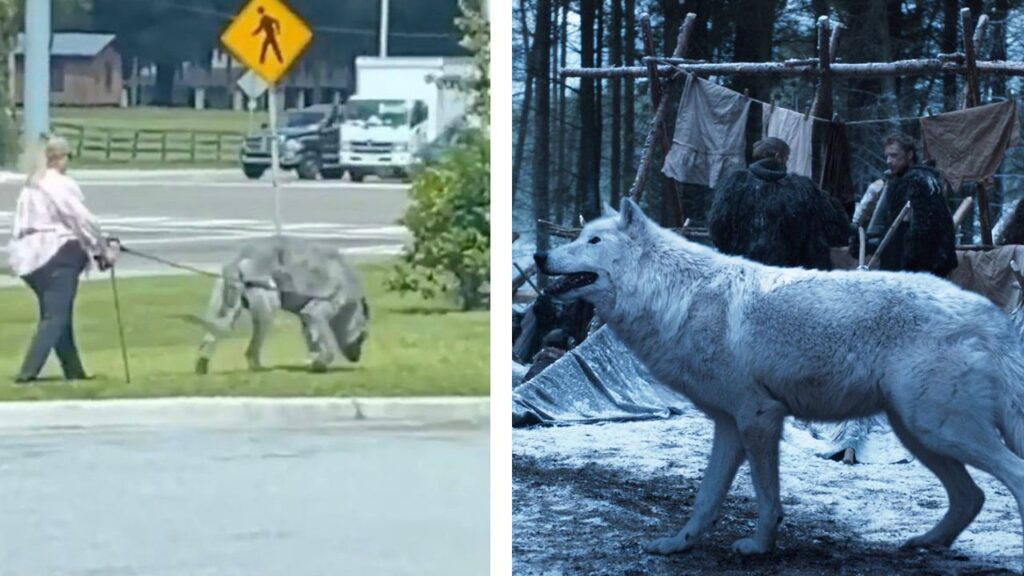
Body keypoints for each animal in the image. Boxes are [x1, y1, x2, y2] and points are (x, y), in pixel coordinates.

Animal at [194, 234, 368, 373]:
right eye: (362, 338)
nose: (357, 358)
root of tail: (239, 260)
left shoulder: (306, 319)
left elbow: (311, 336)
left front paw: (316, 359)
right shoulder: (320, 310)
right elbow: (327, 341)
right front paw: (321, 362)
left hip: (224, 299)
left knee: (216, 329)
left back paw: (202, 365)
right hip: (266, 304)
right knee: (251, 348)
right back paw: (258, 367)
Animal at [532, 195, 1024, 561]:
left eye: (593, 240)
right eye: (579, 236)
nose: (539, 255)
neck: (676, 294)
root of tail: (994, 318)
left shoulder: (760, 416)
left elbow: (765, 496)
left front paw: (758, 547)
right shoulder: (728, 425)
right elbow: (706, 497)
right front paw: (678, 544)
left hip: (937, 429)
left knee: (1011, 477)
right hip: (919, 433)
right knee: (971, 497)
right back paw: (925, 543)